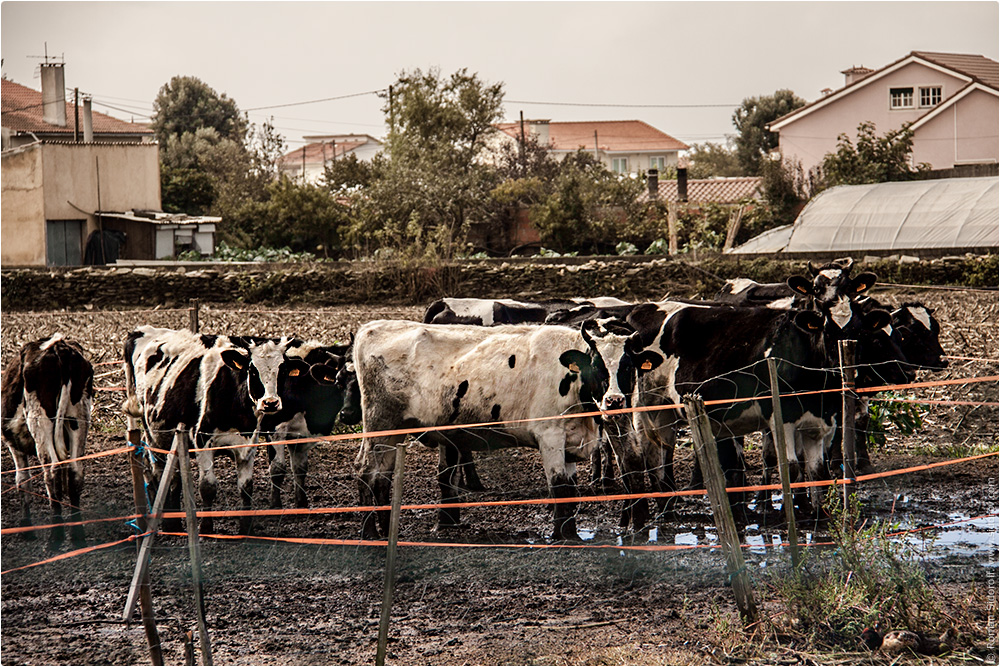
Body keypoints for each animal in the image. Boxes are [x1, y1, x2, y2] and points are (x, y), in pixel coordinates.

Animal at [0, 336, 94, 544]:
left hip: (40, 422)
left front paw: (26, 529)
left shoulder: (14, 446)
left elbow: (23, 482)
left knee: (52, 471)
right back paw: (77, 535)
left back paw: (55, 537)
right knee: (76, 472)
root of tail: (60, 347)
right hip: (79, 420)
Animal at [120, 326, 302, 536]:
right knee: (159, 472)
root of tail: (142, 330)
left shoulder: (248, 445)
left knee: (173, 476)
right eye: (252, 370)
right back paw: (167, 522)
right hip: (152, 434)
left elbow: (246, 487)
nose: (270, 403)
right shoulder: (202, 442)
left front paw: (246, 528)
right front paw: (206, 527)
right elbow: (208, 487)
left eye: (283, 370)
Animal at [354, 318, 664, 544]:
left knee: (382, 477)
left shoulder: (572, 441)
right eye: (598, 366)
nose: (614, 401)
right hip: (380, 424)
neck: (574, 382)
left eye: (628, 367)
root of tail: (371, 327)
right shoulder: (550, 435)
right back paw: (369, 533)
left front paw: (567, 532)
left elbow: (571, 488)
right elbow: (559, 486)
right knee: (367, 470)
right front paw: (565, 537)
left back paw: (385, 530)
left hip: (392, 432)